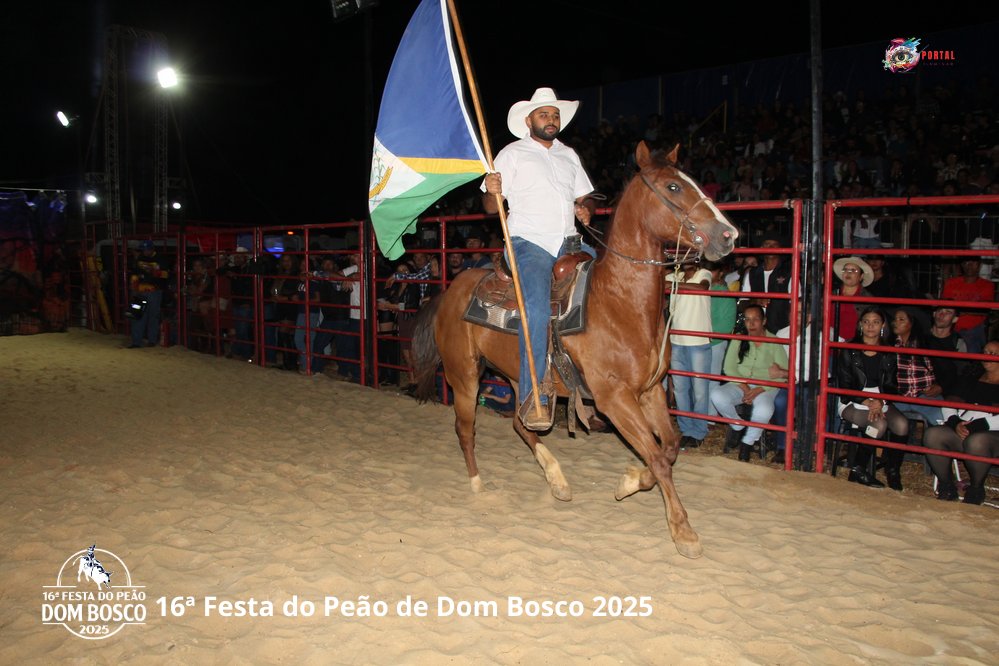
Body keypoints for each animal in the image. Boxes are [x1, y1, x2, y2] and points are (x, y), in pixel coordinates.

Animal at [411, 141, 738, 558]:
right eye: (673, 187)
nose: (728, 234)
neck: (617, 305)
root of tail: (449, 291)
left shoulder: (650, 392)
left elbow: (669, 448)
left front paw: (630, 482)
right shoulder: (614, 399)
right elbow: (657, 458)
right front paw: (683, 532)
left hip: (522, 379)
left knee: (521, 422)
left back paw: (557, 479)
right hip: (464, 375)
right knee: (465, 429)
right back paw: (478, 484)